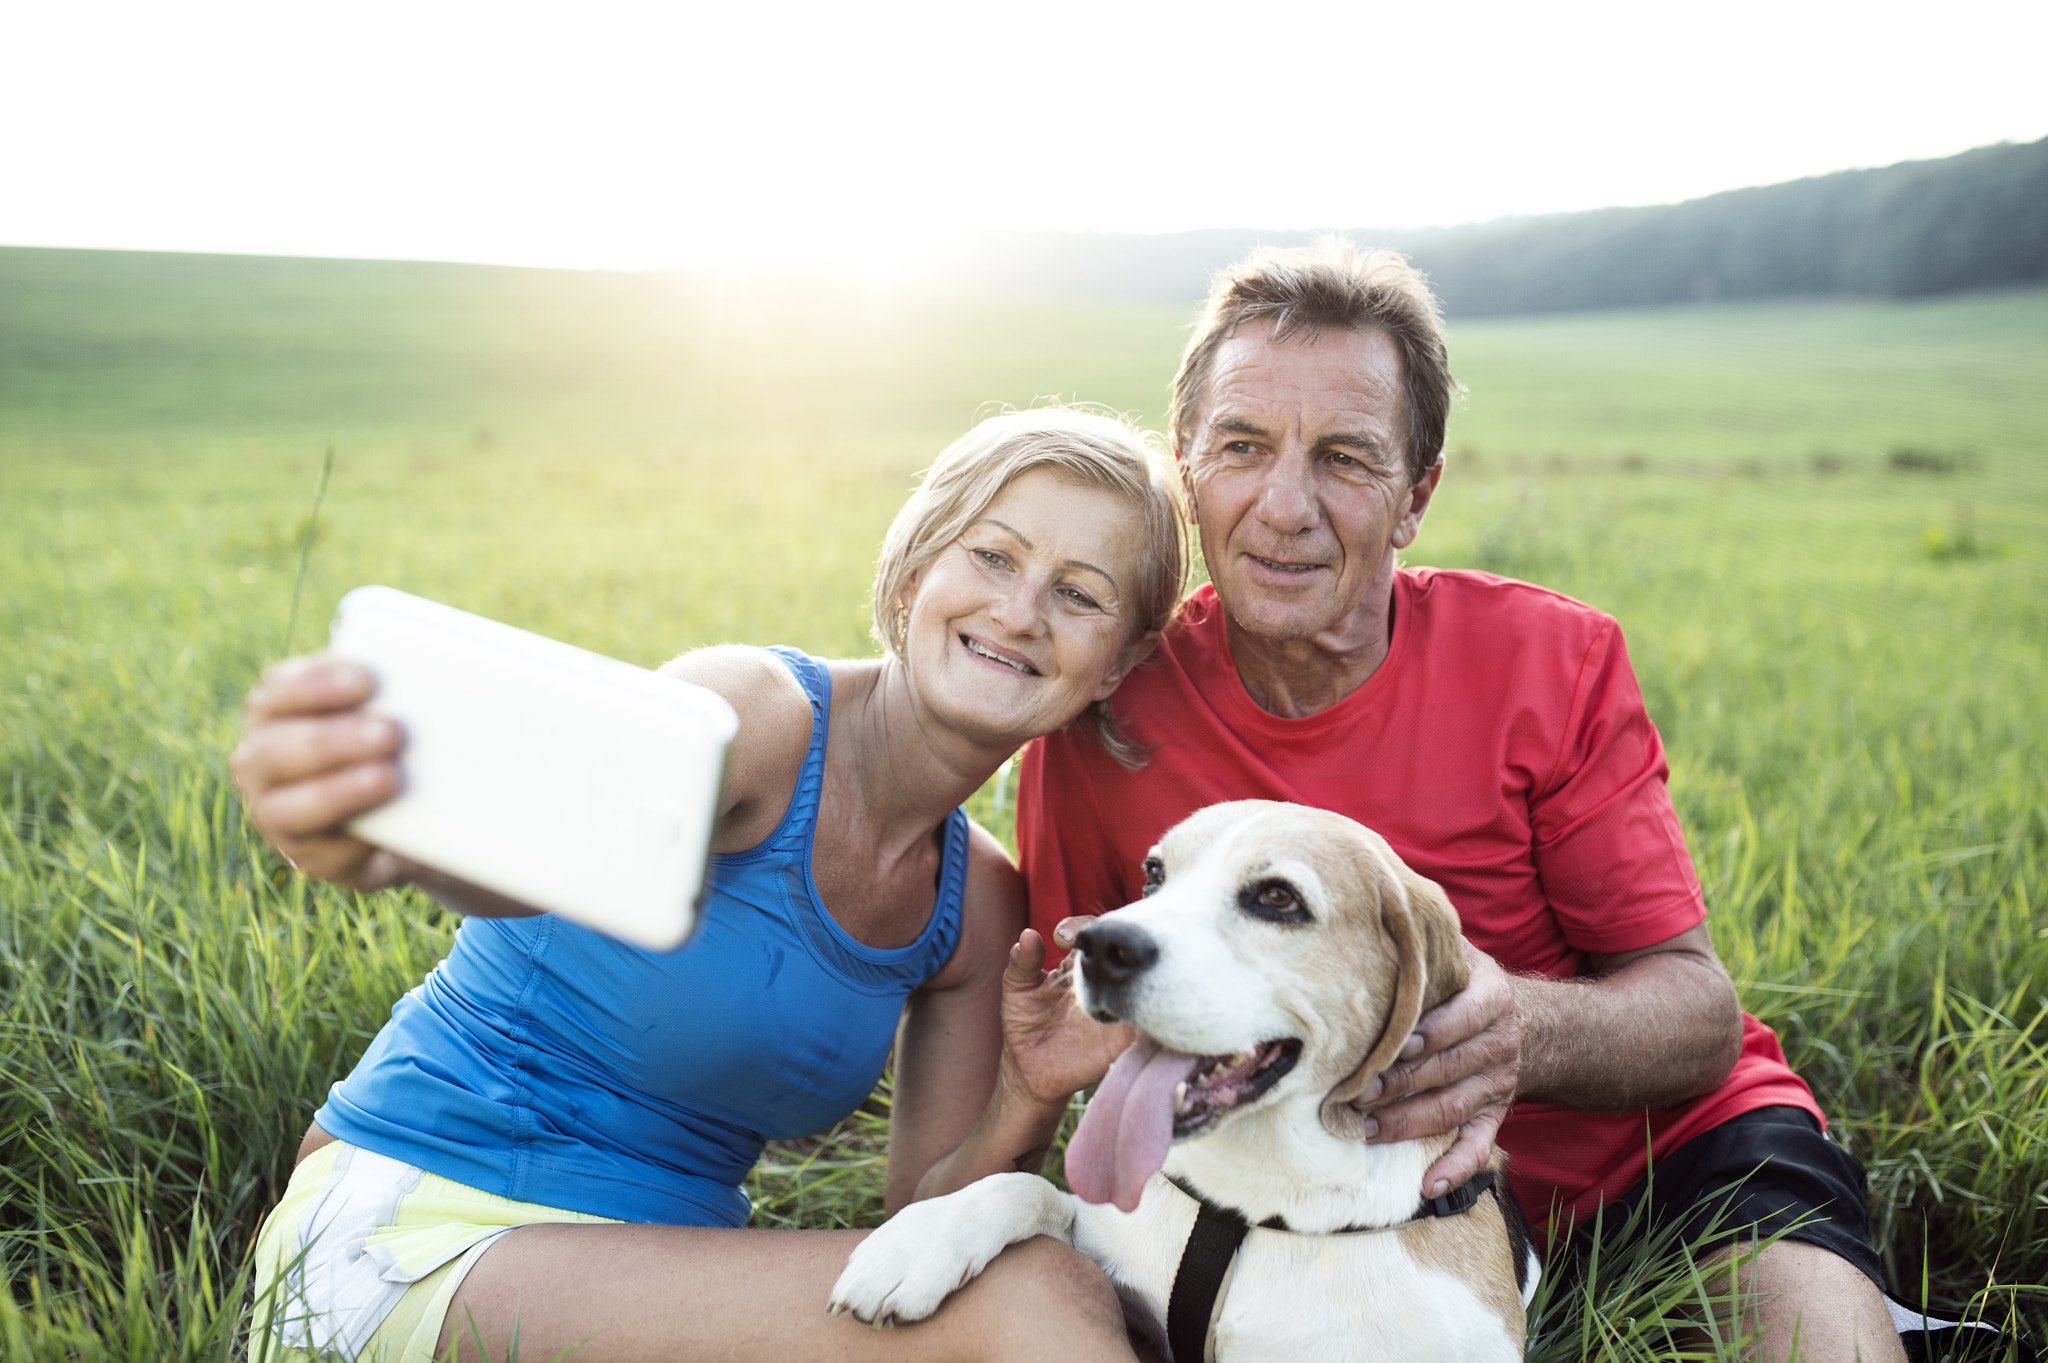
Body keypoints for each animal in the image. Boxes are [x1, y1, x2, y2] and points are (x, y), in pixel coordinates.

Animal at [831, 802, 1540, 1350]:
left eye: (1277, 897)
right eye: (1154, 875)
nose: (1099, 946)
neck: (1260, 1207)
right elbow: (1025, 1187)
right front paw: (916, 1245)